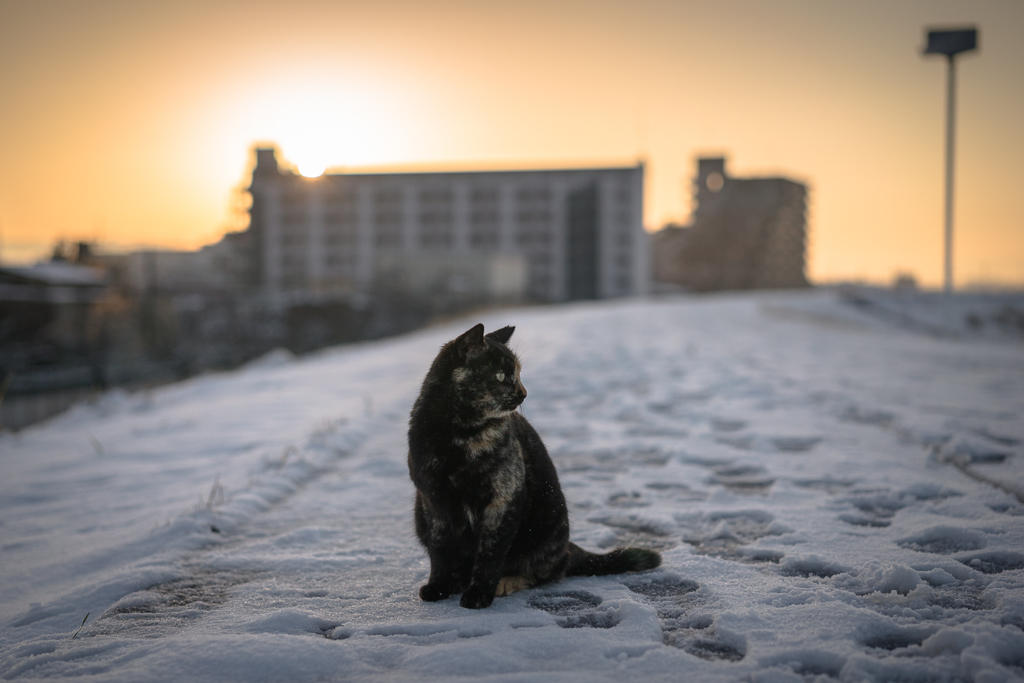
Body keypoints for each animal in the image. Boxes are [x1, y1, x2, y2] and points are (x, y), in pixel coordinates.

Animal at [407, 325, 663, 610]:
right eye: (500, 375)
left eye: (518, 374)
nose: (523, 393)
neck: (460, 432)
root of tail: (568, 545)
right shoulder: (434, 501)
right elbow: (440, 551)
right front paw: (438, 586)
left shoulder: (503, 499)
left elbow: (490, 553)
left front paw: (479, 593)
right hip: (419, 516)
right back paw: (458, 581)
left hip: (548, 525)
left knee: (548, 570)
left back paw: (505, 583)